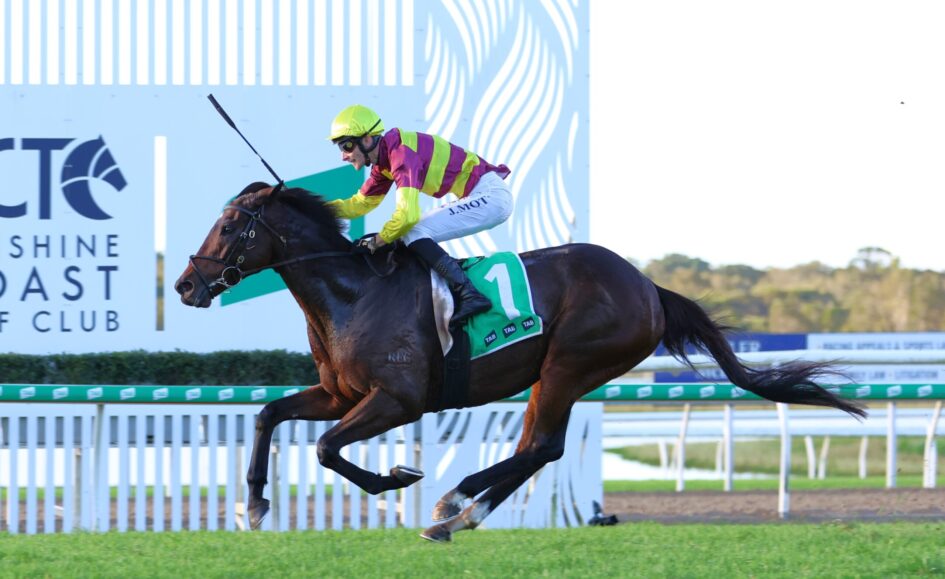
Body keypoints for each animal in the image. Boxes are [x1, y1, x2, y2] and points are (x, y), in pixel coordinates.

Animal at [174, 182, 866, 542]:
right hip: (564, 375)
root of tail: (647, 286)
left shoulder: (398, 399)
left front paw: (397, 478)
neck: (352, 294)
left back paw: (454, 502)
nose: (185, 285)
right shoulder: (341, 394)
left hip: (570, 363)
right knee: (542, 447)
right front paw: (254, 504)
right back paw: (462, 515)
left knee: (539, 446)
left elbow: (324, 449)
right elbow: (269, 415)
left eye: (231, 226)